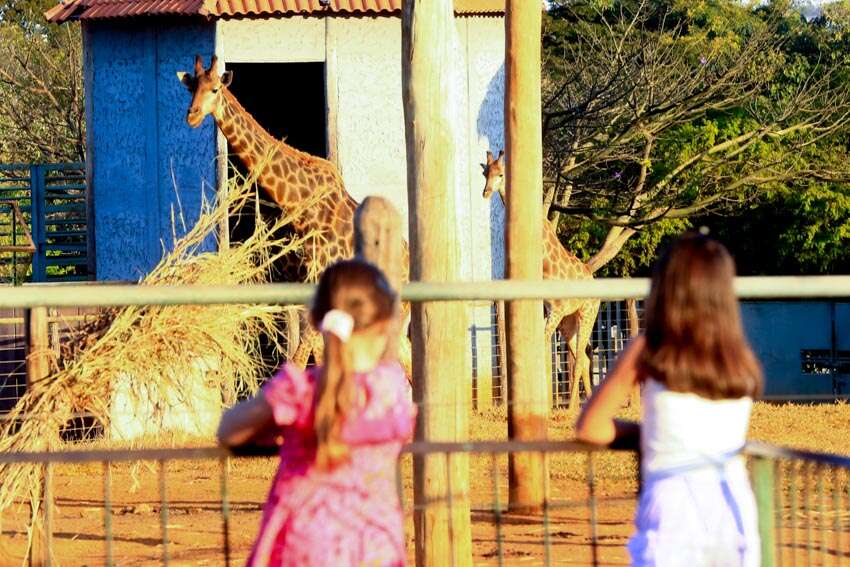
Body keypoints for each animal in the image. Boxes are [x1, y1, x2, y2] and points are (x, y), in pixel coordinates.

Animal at [176, 55, 410, 370]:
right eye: (192, 89)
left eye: (215, 89)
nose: (192, 115)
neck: (299, 207)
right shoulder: (295, 288)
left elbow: (302, 357)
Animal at [480, 151, 600, 408]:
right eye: (485, 173)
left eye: (501, 174)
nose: (485, 192)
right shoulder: (548, 311)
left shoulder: (555, 311)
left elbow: (543, 352)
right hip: (568, 323)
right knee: (583, 358)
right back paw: (582, 403)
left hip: (587, 313)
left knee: (580, 359)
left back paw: (570, 408)